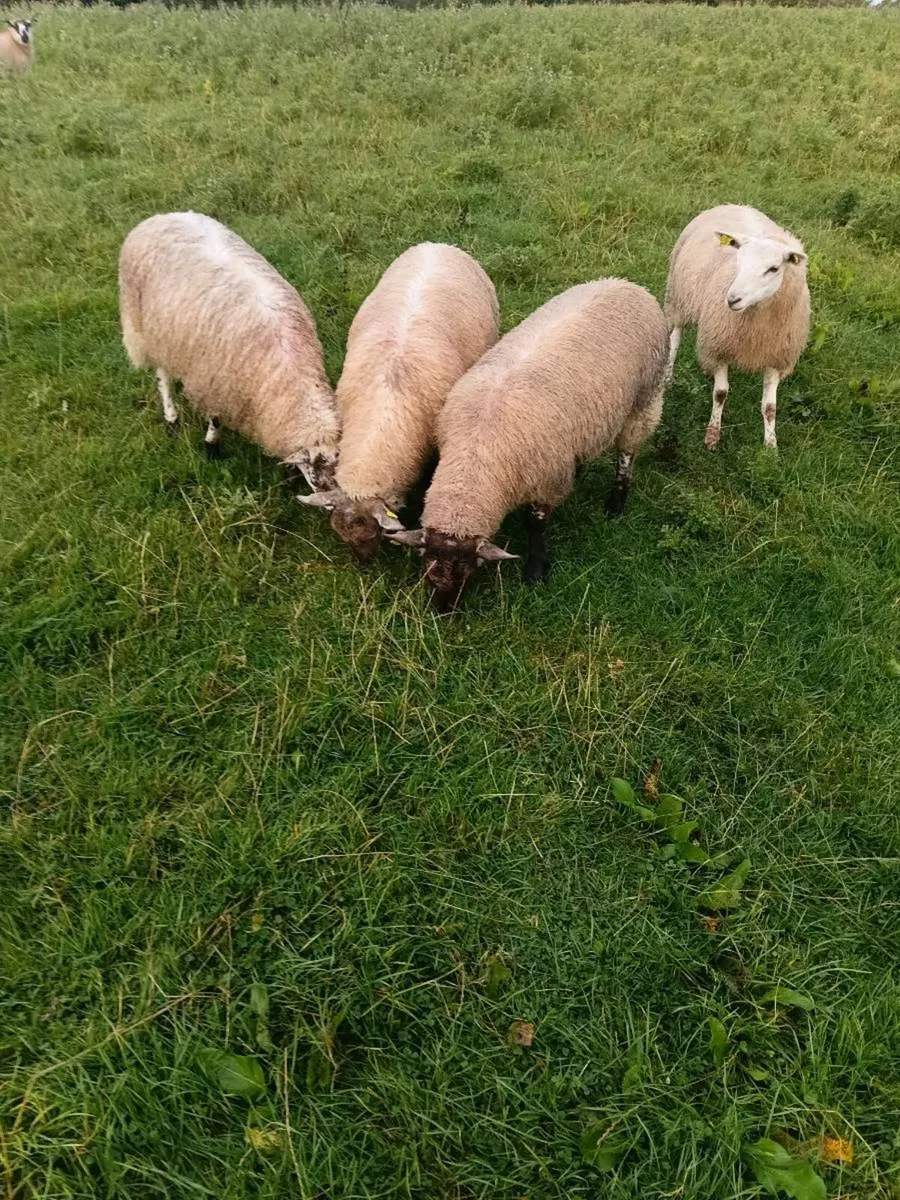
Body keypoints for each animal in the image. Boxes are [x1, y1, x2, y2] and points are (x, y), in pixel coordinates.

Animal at [119, 212, 341, 490]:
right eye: (319, 481)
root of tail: (161, 216)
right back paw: (171, 418)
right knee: (162, 375)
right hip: (145, 326)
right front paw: (211, 447)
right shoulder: (218, 381)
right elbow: (215, 418)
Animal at [388, 278, 669, 612]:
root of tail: (627, 284)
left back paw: (616, 502)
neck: (475, 457)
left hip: (646, 397)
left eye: (468, 572)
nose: (443, 612)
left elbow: (535, 526)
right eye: (427, 569)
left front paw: (535, 570)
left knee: (627, 452)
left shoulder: (546, 482)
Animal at [665, 204, 810, 451]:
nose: (732, 299)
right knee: (675, 336)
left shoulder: (777, 355)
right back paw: (667, 375)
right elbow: (720, 393)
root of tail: (737, 204)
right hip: (678, 295)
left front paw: (771, 446)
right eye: (738, 260)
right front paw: (712, 435)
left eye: (773, 268)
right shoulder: (719, 344)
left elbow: (770, 407)